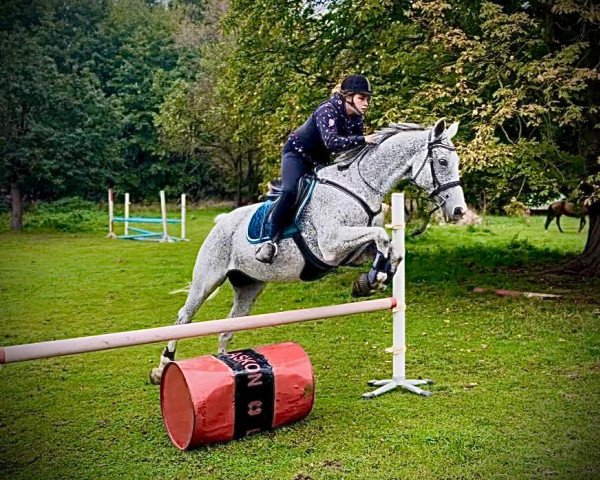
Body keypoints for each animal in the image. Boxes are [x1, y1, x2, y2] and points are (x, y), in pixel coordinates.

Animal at [150, 118, 468, 384]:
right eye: (442, 161)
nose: (458, 211)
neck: (360, 188)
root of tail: (222, 222)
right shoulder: (330, 246)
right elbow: (381, 237)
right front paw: (374, 280)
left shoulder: (352, 253)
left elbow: (389, 249)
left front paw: (370, 282)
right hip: (208, 278)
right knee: (184, 317)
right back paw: (162, 367)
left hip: (249, 286)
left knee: (228, 327)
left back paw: (229, 367)